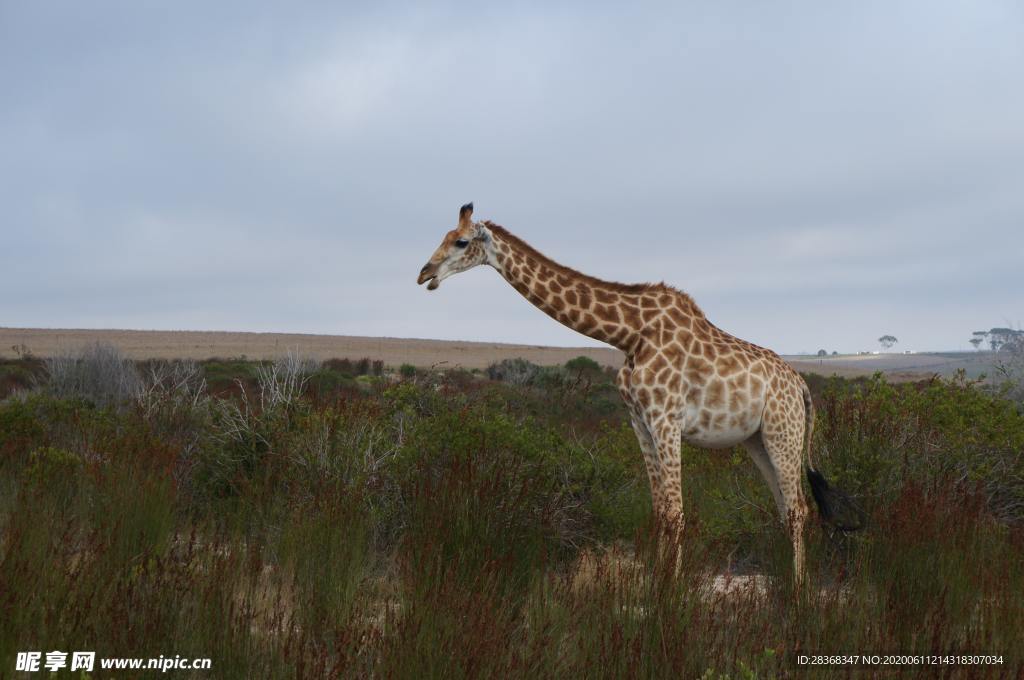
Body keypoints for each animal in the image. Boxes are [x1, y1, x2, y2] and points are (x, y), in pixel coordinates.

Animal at [415, 201, 856, 585]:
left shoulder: (666, 419)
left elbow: (676, 512)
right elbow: (659, 511)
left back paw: (798, 593)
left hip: (784, 432)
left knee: (798, 509)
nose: (423, 273)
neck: (628, 334)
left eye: (460, 241)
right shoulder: (639, 421)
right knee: (785, 507)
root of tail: (801, 385)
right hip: (758, 440)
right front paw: (656, 586)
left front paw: (671, 597)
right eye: (444, 235)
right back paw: (785, 585)